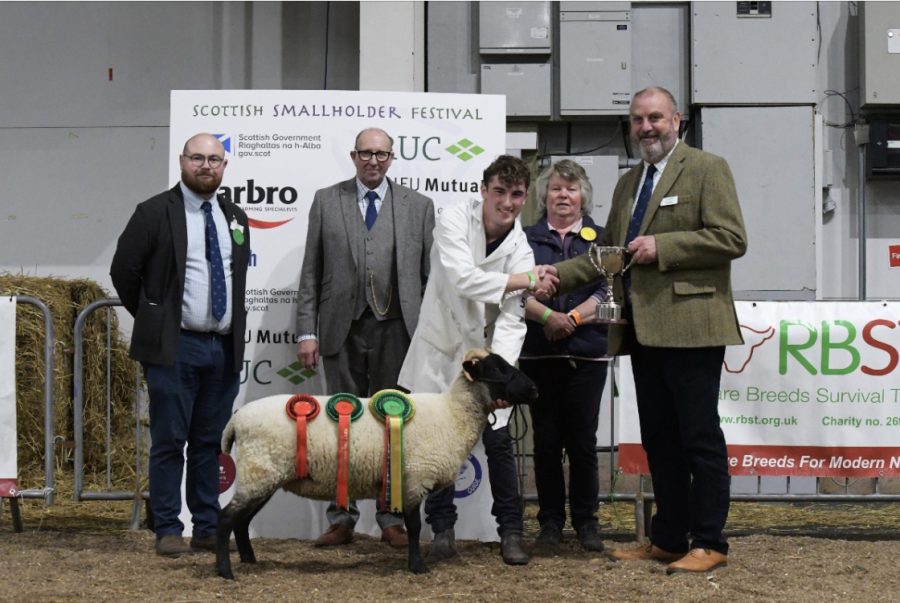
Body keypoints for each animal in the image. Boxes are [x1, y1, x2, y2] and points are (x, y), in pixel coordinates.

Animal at [214, 350, 536, 580]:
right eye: (498, 370)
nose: (534, 389)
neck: (452, 413)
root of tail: (236, 420)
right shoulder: (414, 479)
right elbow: (415, 526)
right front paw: (417, 566)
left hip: (262, 476)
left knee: (241, 520)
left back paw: (249, 560)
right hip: (259, 472)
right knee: (227, 517)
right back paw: (225, 571)